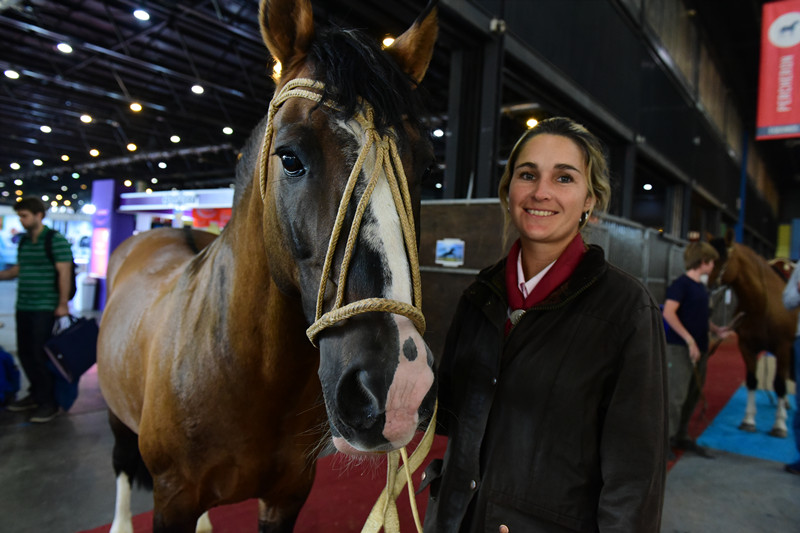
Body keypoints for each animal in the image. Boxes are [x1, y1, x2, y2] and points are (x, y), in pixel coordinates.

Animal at [96, 0, 439, 531]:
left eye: (424, 166)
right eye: (290, 157)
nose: (399, 386)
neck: (246, 375)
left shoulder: (287, 496)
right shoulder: (172, 499)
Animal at [708, 232, 799, 438]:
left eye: (721, 258)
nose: (707, 285)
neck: (763, 304)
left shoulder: (783, 347)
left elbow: (779, 383)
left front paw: (779, 425)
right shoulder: (746, 346)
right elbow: (751, 381)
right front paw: (748, 420)